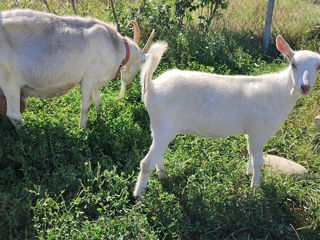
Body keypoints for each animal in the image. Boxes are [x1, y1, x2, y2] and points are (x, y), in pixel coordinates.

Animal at [0, 9, 155, 128]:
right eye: (139, 67)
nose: (128, 85)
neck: (114, 45)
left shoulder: (93, 80)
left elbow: (98, 101)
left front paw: (101, 120)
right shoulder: (88, 79)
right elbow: (86, 107)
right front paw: (82, 130)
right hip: (9, 82)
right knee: (14, 115)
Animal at [134, 35, 320, 199]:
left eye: (318, 67)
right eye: (293, 64)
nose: (304, 87)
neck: (280, 91)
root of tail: (151, 86)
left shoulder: (251, 131)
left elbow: (251, 154)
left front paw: (248, 173)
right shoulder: (258, 131)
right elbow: (259, 160)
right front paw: (255, 188)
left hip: (158, 126)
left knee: (158, 153)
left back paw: (163, 175)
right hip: (165, 124)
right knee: (146, 162)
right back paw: (139, 196)